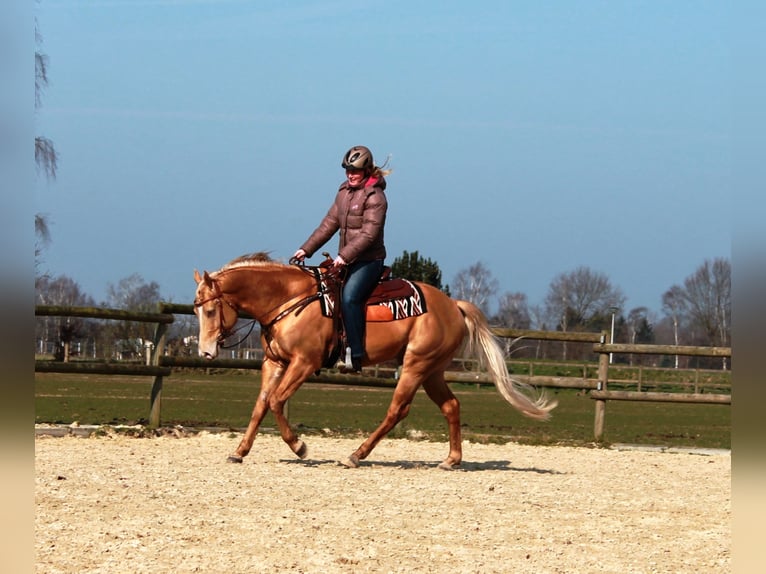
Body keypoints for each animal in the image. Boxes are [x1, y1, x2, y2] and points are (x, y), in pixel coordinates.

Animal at [193, 252, 556, 469]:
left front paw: (299, 447)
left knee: (397, 410)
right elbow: (261, 405)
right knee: (451, 406)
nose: (206, 352)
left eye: (210, 310)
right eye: (197, 310)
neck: (291, 300)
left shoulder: (303, 363)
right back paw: (452, 459)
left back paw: (357, 454)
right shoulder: (274, 363)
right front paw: (240, 451)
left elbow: (277, 401)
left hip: (415, 367)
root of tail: (453, 305)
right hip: (432, 371)